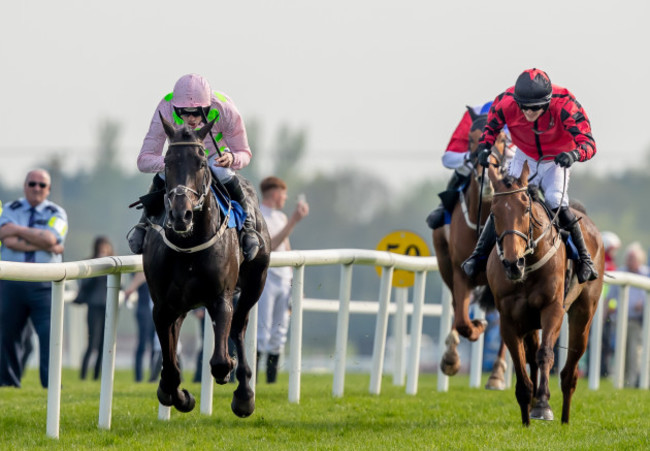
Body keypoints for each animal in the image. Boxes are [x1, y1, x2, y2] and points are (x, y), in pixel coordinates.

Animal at [143, 115, 270, 418]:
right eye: (167, 162)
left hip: (256, 282)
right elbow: (171, 368)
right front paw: (179, 396)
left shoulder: (220, 297)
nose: (181, 214)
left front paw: (230, 374)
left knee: (239, 327)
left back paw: (245, 394)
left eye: (201, 162)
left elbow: (220, 361)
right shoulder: (162, 305)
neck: (189, 244)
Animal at [432, 110, 508, 388]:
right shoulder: (459, 269)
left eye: (504, 139)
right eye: (471, 140)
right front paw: (475, 329)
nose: (488, 179)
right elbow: (463, 320)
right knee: (456, 308)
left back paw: (496, 374)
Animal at [486, 162, 604, 428]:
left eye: (525, 208)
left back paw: (565, 418)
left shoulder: (553, 309)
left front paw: (542, 406)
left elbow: (546, 355)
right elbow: (520, 362)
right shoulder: (509, 318)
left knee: (570, 370)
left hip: (583, 314)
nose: (513, 264)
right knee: (531, 356)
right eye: (493, 213)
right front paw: (526, 412)